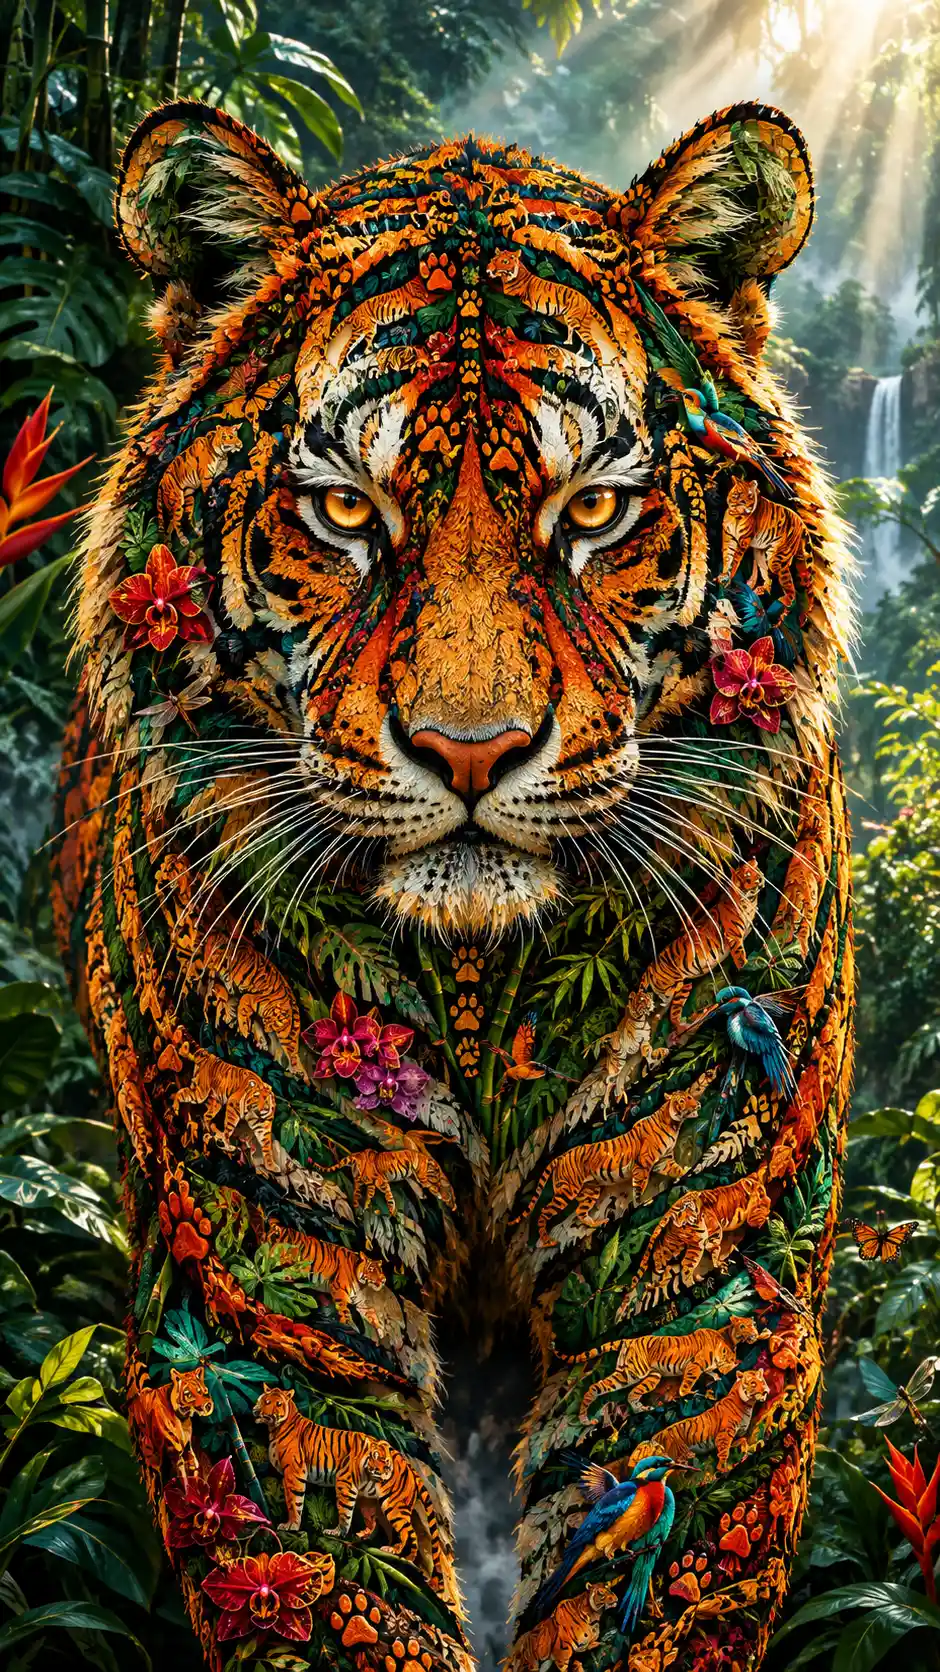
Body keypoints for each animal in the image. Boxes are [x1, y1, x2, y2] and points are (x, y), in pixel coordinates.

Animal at [560, 1317, 764, 1424]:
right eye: (743, 1325)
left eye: (753, 1324)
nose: (755, 1333)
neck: (730, 1338)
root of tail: (628, 1340)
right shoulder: (696, 1365)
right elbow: (687, 1383)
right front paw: (690, 1393)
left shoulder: (714, 1366)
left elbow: (717, 1372)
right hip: (633, 1372)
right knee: (595, 1387)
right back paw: (584, 1418)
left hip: (647, 1376)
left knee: (630, 1393)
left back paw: (640, 1408)